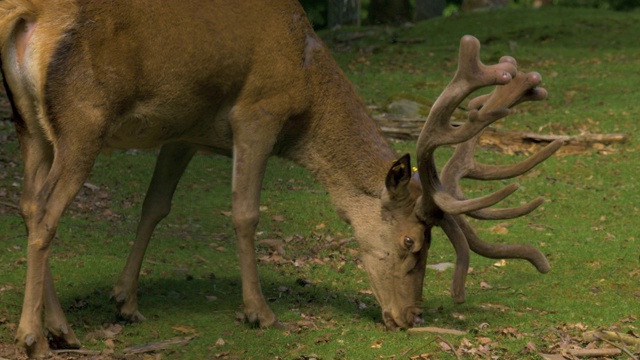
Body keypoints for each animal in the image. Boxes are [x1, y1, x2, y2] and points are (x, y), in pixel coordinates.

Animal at [1, 0, 560, 358]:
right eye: (412, 242)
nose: (410, 317)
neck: (306, 93)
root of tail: (28, 18)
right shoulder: (258, 110)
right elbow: (245, 212)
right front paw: (260, 313)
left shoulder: (186, 131)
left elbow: (155, 206)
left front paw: (127, 303)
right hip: (83, 120)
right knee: (46, 213)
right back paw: (33, 337)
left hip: (31, 127)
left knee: (28, 205)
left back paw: (62, 329)